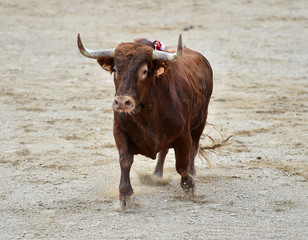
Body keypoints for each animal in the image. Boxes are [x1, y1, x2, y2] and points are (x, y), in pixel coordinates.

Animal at [77, 32, 212, 209]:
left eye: (145, 71)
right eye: (115, 69)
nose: (122, 102)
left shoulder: (184, 136)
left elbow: (182, 165)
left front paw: (189, 186)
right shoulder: (119, 131)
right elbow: (125, 161)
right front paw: (125, 195)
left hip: (200, 122)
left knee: (194, 149)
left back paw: (193, 173)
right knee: (163, 151)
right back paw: (156, 175)